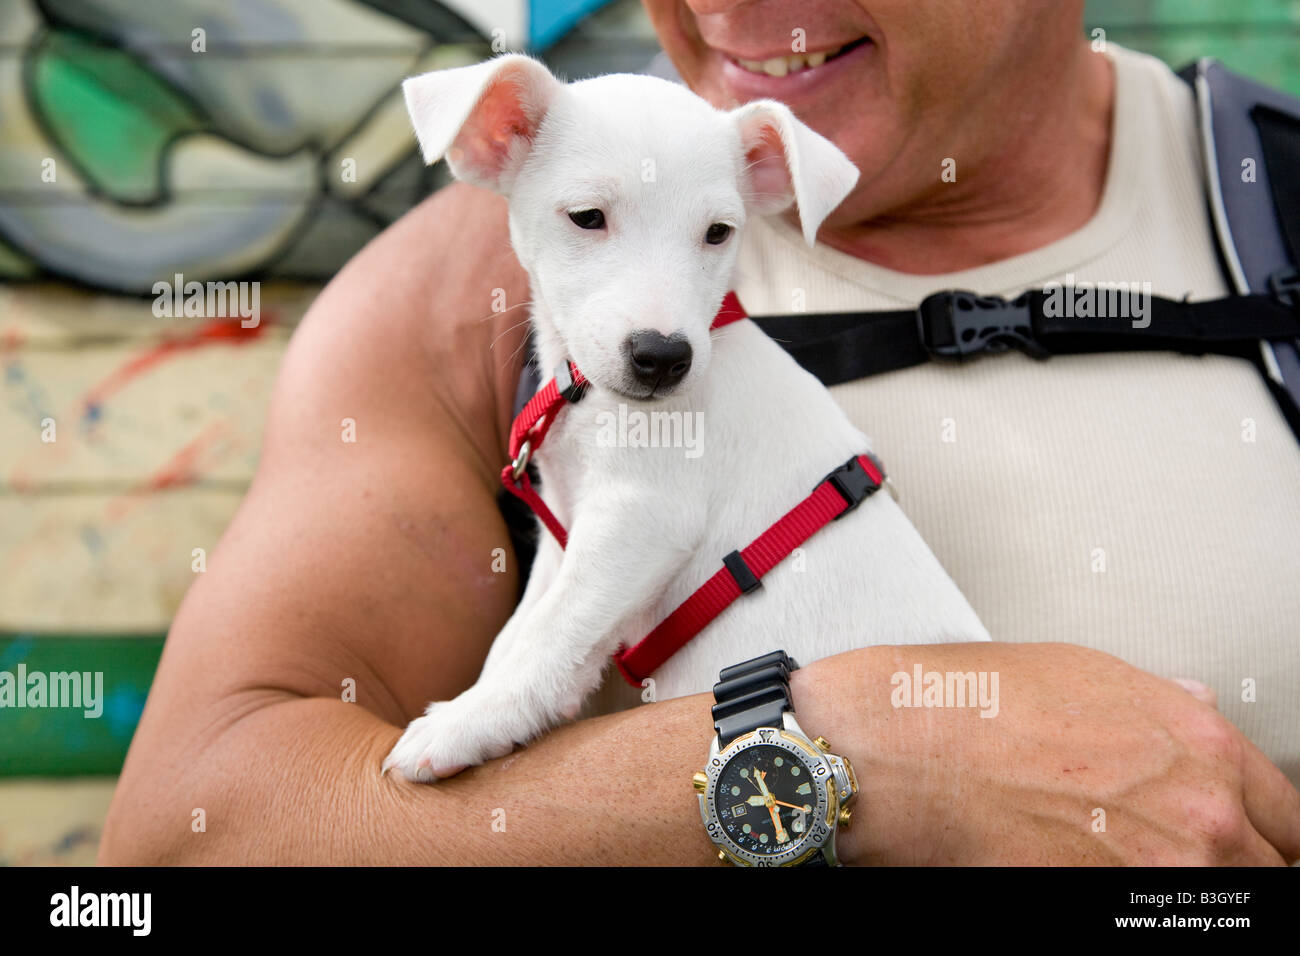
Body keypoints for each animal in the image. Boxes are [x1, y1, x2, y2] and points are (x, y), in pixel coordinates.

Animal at [382, 52, 982, 780]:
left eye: (718, 233)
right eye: (587, 217)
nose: (664, 357)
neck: (594, 404)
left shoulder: (640, 520)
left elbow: (550, 634)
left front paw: (466, 722)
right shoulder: (568, 526)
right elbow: (523, 630)